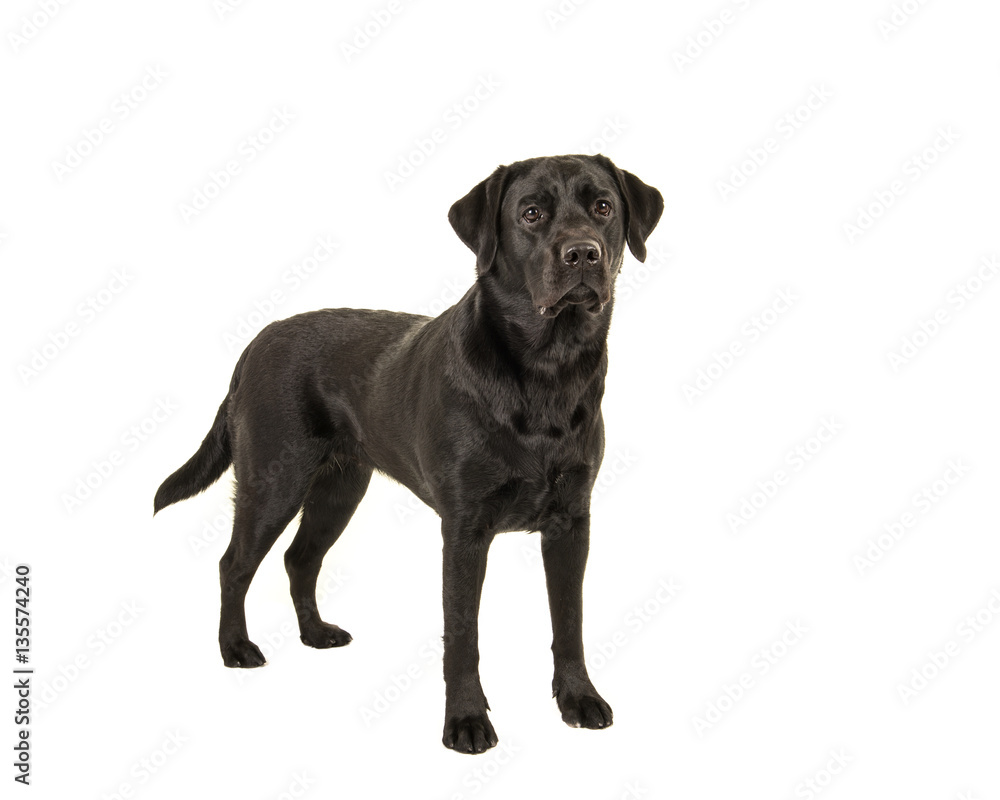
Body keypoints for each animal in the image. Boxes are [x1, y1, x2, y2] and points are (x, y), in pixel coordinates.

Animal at [152, 153, 660, 752]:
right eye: (531, 213)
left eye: (602, 206)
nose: (583, 252)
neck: (547, 372)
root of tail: (255, 342)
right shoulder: (465, 528)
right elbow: (463, 634)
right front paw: (466, 721)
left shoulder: (571, 521)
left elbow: (569, 622)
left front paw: (578, 699)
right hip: (273, 482)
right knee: (234, 563)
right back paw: (235, 648)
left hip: (340, 488)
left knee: (300, 558)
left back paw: (315, 634)